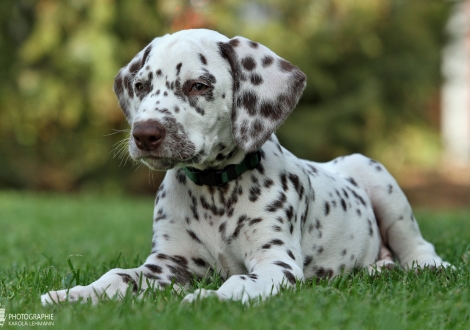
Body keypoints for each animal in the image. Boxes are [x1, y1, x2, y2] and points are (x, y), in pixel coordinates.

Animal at [42, 29, 450, 306]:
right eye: (141, 85)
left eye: (198, 85)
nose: (144, 134)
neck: (215, 188)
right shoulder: (168, 264)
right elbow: (118, 276)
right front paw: (74, 294)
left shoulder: (275, 265)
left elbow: (238, 283)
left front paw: (207, 299)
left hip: (378, 179)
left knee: (417, 244)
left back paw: (430, 267)